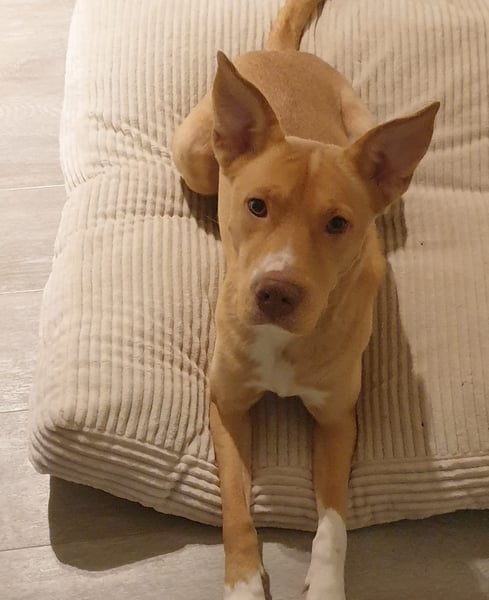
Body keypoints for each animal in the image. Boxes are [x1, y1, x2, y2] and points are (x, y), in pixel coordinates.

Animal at [172, 0, 439, 598]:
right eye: (256, 206)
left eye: (338, 223)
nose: (276, 292)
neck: (282, 343)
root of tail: (281, 54)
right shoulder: (226, 405)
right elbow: (235, 508)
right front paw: (244, 581)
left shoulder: (339, 420)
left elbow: (334, 522)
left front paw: (326, 582)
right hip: (192, 155)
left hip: (363, 122)